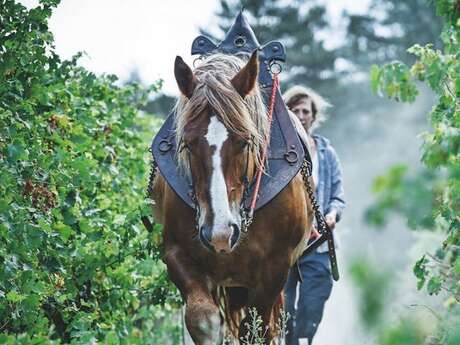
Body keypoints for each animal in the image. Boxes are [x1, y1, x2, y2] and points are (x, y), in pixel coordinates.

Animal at [149, 51, 314, 344]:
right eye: (188, 144)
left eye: (244, 142)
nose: (220, 234)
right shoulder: (177, 254)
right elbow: (204, 320)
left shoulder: (275, 268)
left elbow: (255, 329)